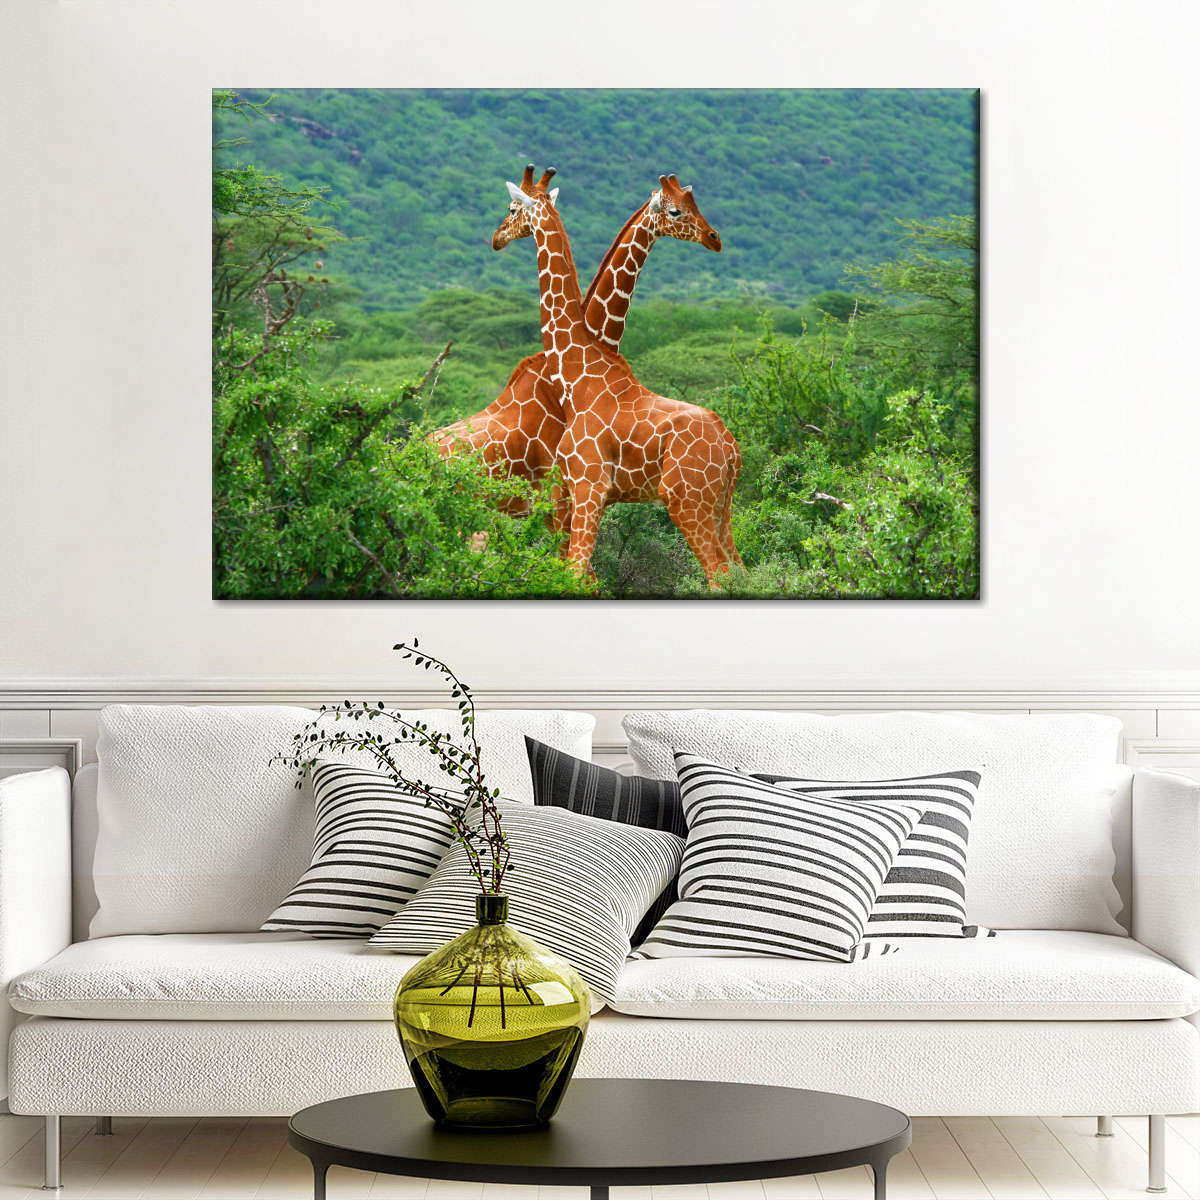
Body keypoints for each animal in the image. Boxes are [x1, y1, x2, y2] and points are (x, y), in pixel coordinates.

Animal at [493, 166, 742, 588]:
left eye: (512, 208)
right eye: (677, 210)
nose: (496, 238)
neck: (576, 374)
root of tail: (731, 449)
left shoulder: (587, 485)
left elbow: (576, 574)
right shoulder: (576, 493)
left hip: (686, 500)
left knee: (720, 574)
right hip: (720, 507)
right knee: (742, 571)